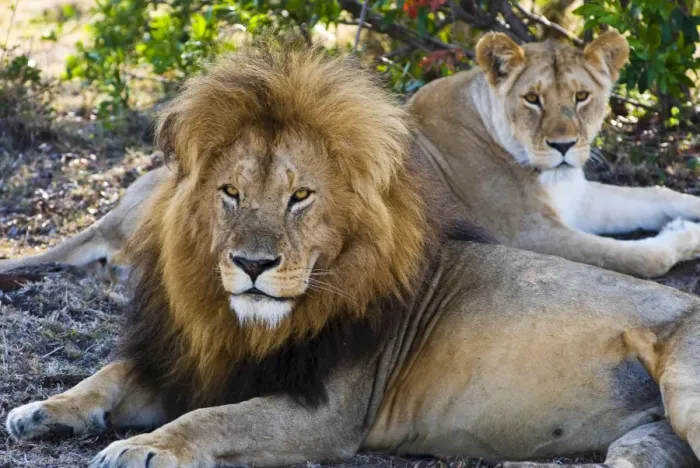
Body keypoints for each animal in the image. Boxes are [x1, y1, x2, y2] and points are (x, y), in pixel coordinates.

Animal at [410, 30, 700, 279]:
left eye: (581, 96)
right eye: (532, 98)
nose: (563, 145)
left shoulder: (576, 197)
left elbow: (656, 193)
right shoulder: (524, 236)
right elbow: (644, 258)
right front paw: (686, 233)